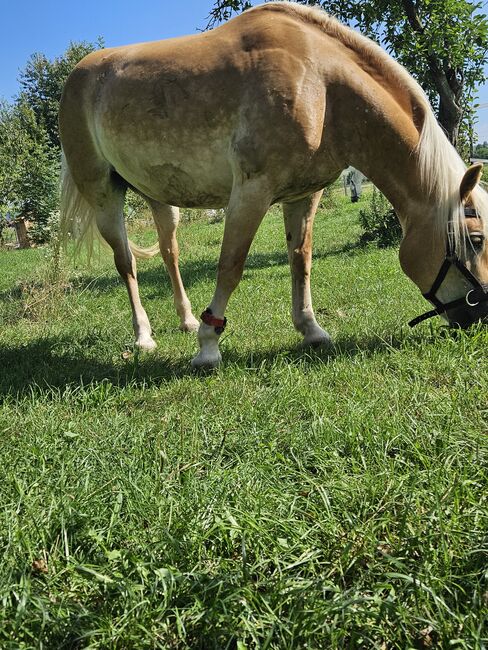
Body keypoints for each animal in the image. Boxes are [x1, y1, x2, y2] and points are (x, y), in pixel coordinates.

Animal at [58, 0, 488, 364]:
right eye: (477, 239)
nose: (481, 315)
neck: (321, 83)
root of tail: (78, 75)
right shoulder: (251, 192)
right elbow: (231, 266)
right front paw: (208, 347)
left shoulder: (303, 195)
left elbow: (301, 260)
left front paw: (311, 329)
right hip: (104, 195)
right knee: (126, 263)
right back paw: (144, 336)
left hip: (159, 197)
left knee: (169, 252)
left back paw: (185, 319)